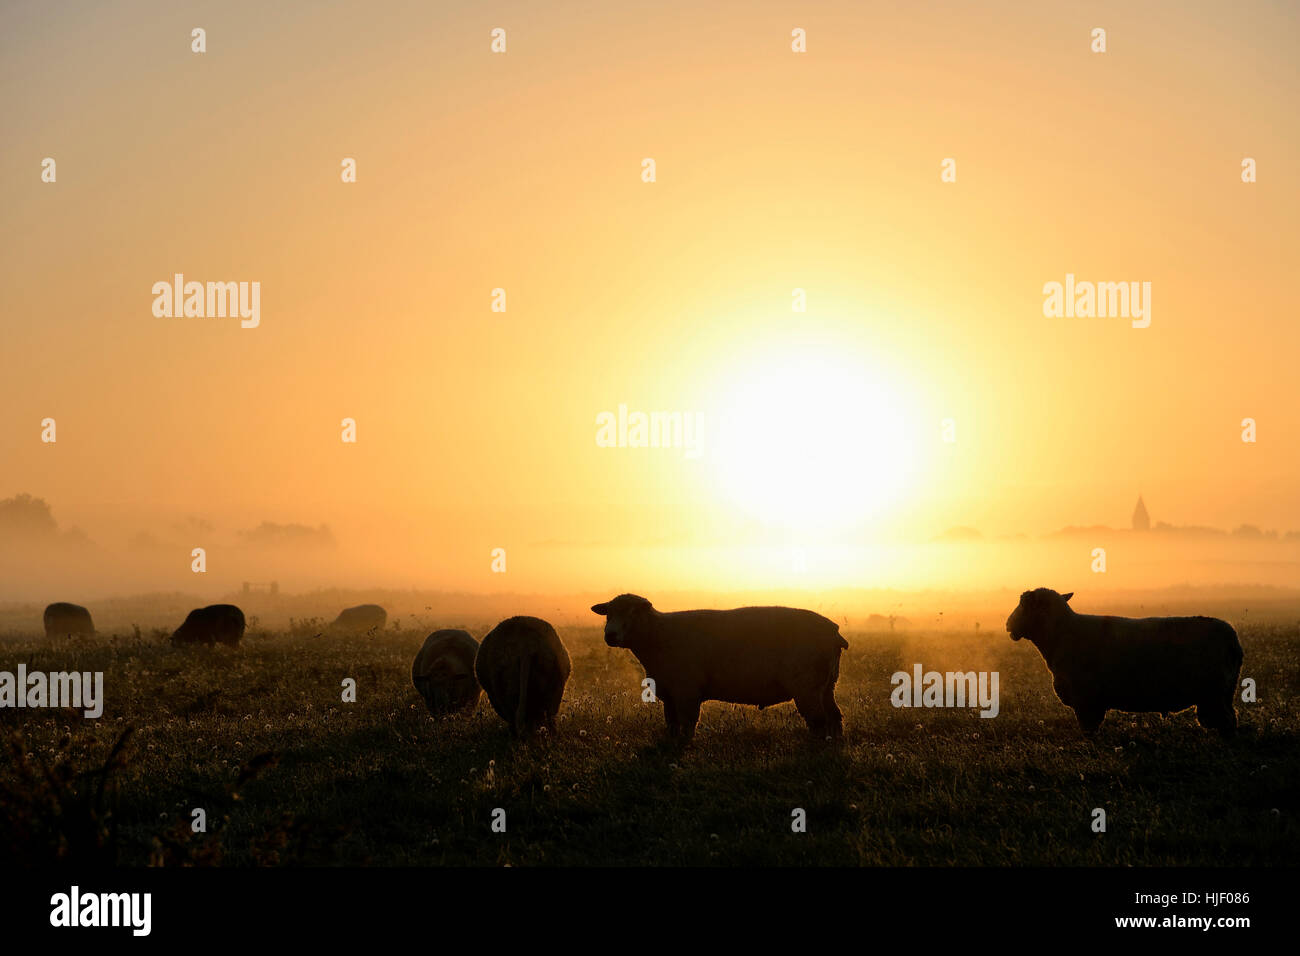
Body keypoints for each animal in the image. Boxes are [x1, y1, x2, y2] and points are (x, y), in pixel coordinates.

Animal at [592, 595, 852, 743]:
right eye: (608, 613)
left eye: (633, 612)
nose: (610, 635)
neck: (658, 635)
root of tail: (834, 632)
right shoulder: (669, 693)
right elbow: (671, 723)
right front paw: (671, 743)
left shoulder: (687, 690)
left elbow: (688, 722)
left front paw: (685, 745)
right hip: (827, 685)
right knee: (835, 716)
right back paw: (833, 743)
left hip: (807, 685)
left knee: (818, 720)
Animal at [998, 587, 1242, 738]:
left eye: (1023, 604)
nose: (1008, 625)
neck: (1062, 633)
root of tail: (1232, 638)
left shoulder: (1086, 699)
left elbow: (1088, 729)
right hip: (1221, 694)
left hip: (1214, 693)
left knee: (1228, 721)